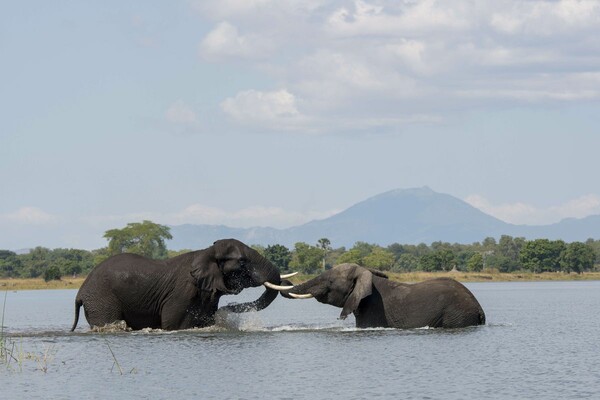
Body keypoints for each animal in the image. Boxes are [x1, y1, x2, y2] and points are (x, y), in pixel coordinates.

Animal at [71, 239, 294, 330]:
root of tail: (80, 292)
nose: (225, 311)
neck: (206, 252)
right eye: (241, 262)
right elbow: (175, 325)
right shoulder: (182, 293)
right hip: (101, 300)